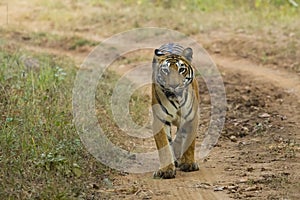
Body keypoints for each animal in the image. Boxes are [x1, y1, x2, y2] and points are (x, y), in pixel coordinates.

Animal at [152, 43, 199, 179]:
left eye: (181, 70)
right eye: (166, 70)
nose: (174, 85)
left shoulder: (192, 118)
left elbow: (189, 142)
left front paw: (188, 164)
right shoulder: (159, 120)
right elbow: (164, 145)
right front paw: (166, 170)